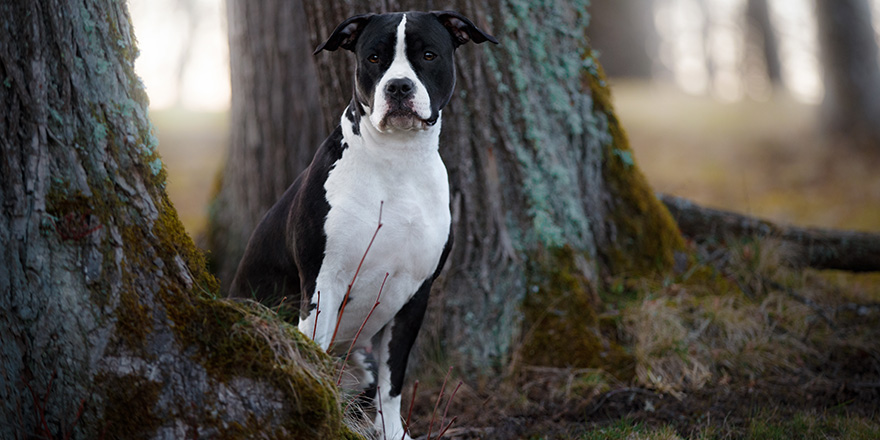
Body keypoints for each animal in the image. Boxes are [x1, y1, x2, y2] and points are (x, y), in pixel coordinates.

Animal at [229, 11, 496, 440]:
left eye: (428, 54)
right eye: (374, 58)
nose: (399, 85)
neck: (398, 160)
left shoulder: (416, 294)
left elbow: (393, 382)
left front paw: (395, 433)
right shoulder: (323, 283)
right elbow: (314, 358)